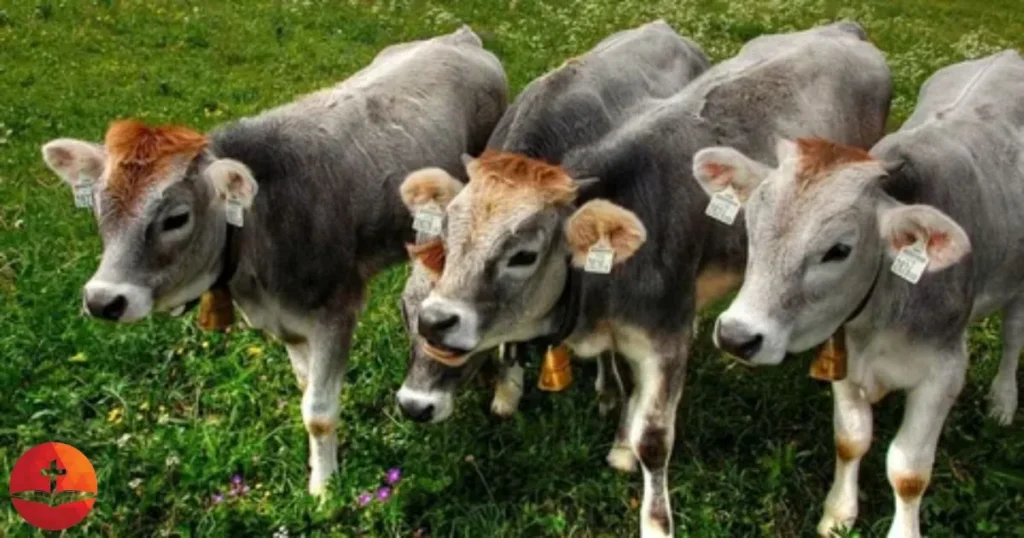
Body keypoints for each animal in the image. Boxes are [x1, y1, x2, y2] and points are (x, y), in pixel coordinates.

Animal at [39, 25, 507, 495]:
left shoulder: (338, 309)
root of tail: (459, 36)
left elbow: (319, 413)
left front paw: (323, 490)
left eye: (176, 218)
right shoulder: (288, 323)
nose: (102, 300)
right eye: (99, 209)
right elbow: (306, 390)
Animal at [700, 48, 1024, 532]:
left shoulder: (944, 372)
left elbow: (908, 470)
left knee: (1013, 337)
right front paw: (838, 514)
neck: (879, 318)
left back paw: (1003, 402)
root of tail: (1007, 55)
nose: (737, 337)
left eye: (838, 250)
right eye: (750, 226)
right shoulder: (844, 358)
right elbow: (850, 440)